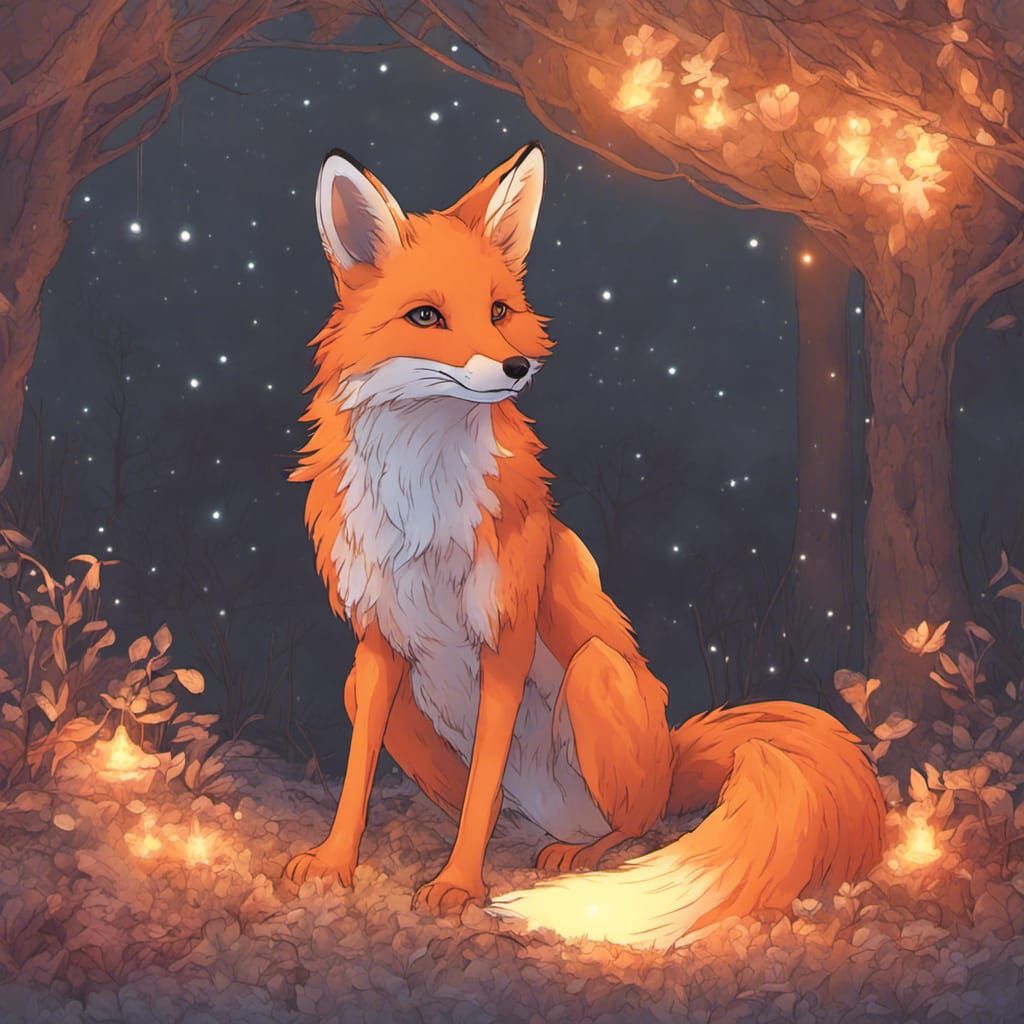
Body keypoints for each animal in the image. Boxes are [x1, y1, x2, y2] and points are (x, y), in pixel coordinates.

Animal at [285, 141, 886, 948]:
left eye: (499, 311)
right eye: (426, 316)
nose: (515, 367)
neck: (423, 502)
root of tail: (673, 757)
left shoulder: (505, 633)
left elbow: (480, 796)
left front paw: (459, 885)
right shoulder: (377, 643)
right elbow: (360, 780)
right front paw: (335, 862)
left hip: (597, 675)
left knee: (635, 824)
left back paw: (578, 854)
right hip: (384, 696)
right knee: (508, 809)